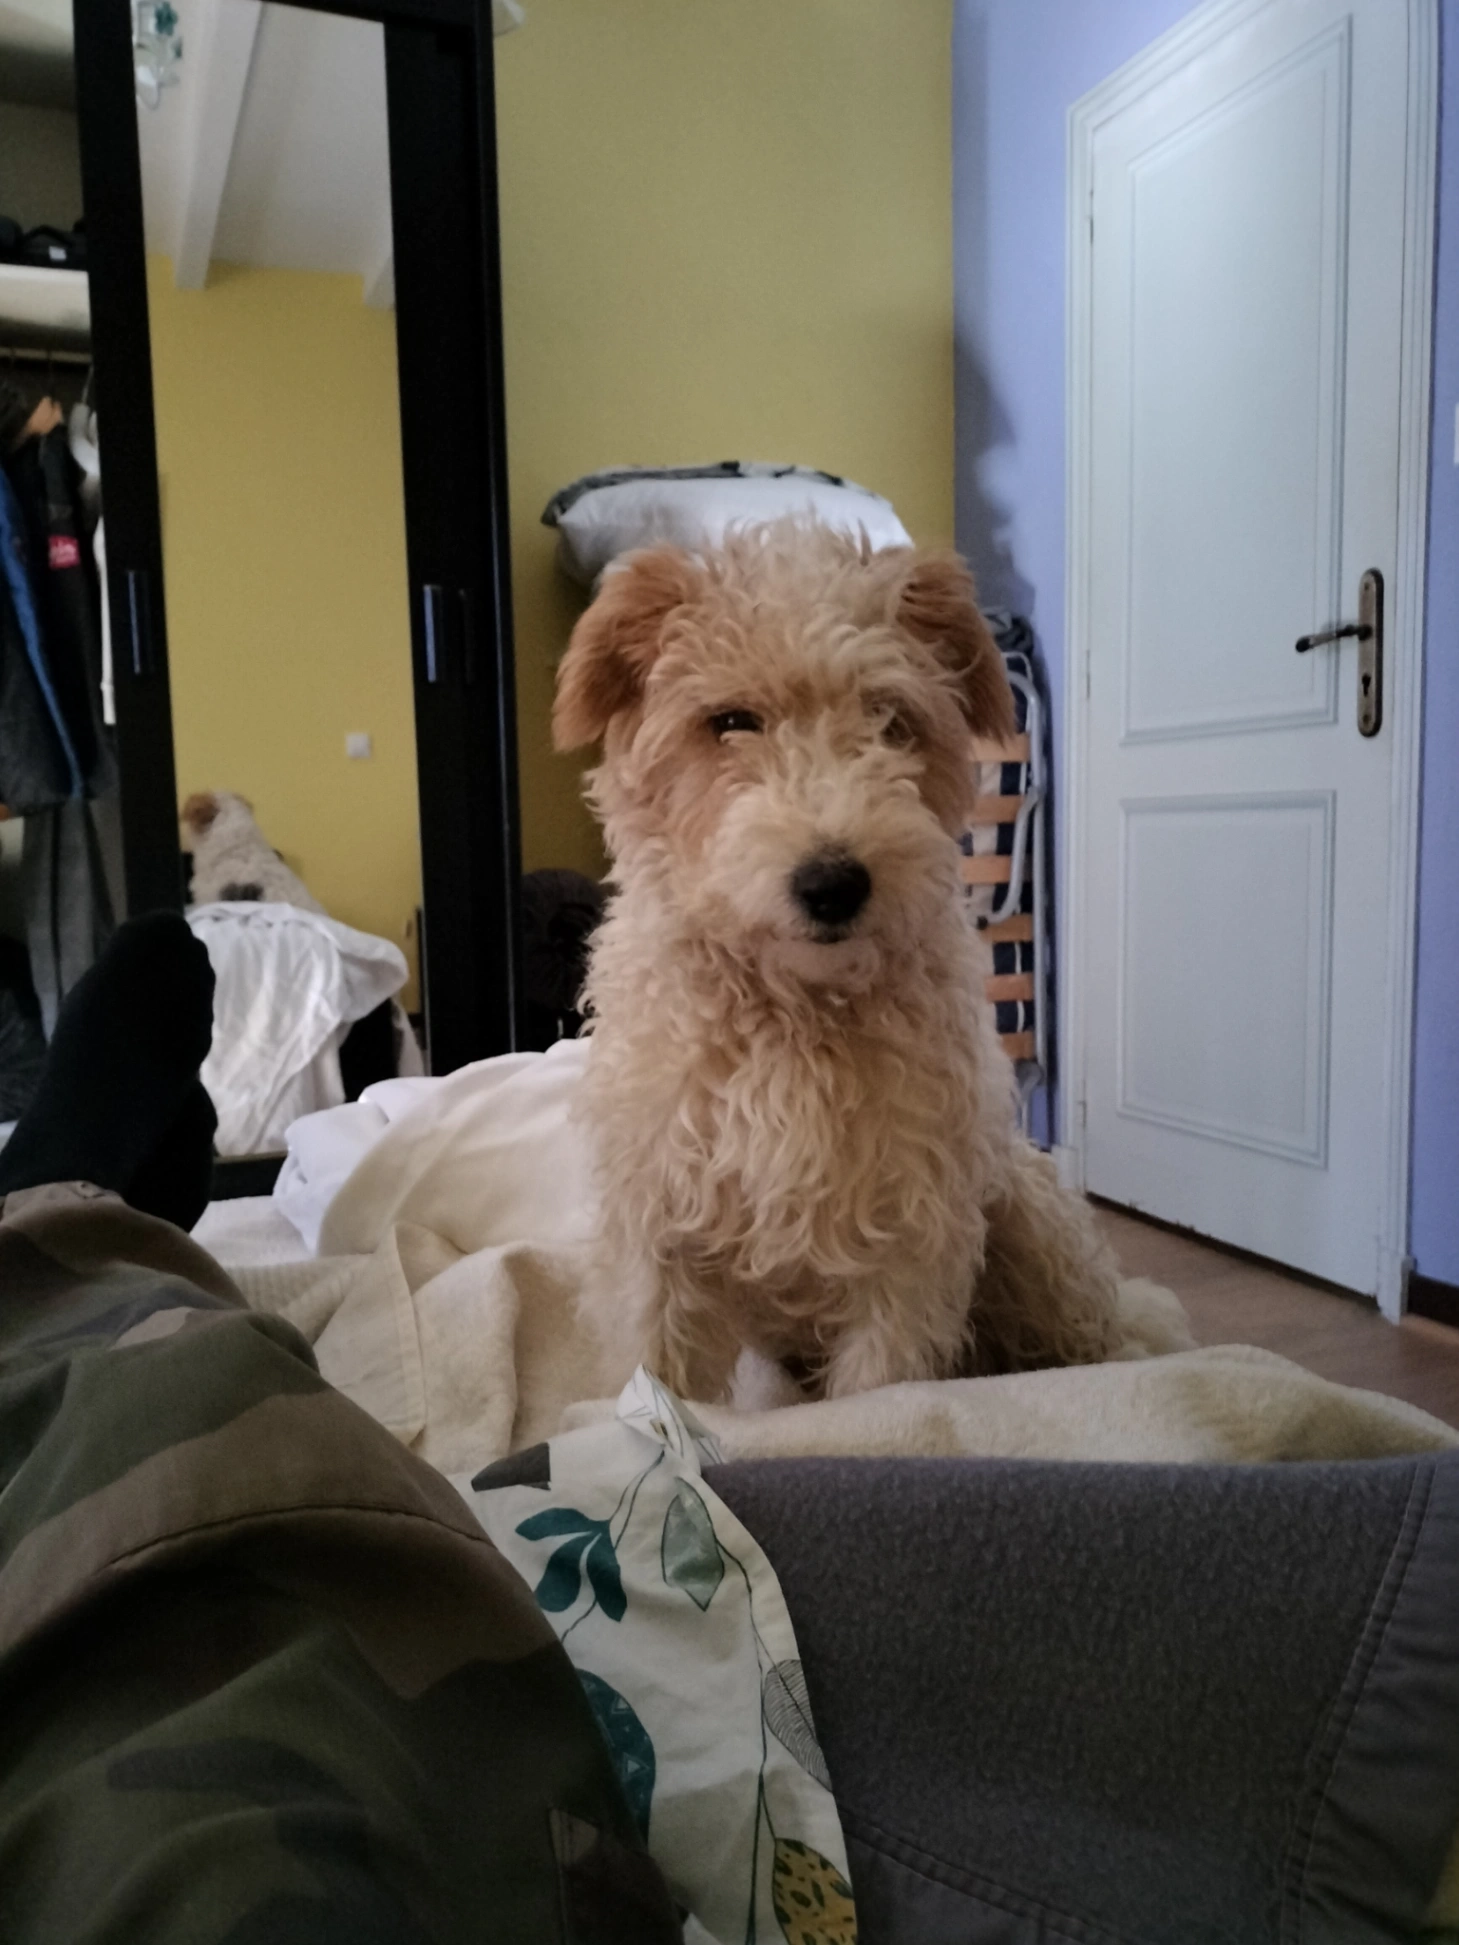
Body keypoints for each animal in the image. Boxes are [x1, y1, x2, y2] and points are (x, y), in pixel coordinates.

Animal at [553, 517, 1123, 1402]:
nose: (833, 884)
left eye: (890, 719)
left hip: (1026, 1225)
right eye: (730, 719)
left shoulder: (909, 1235)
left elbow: (872, 1395)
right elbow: (661, 1374)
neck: (791, 1015)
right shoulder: (661, 1226)